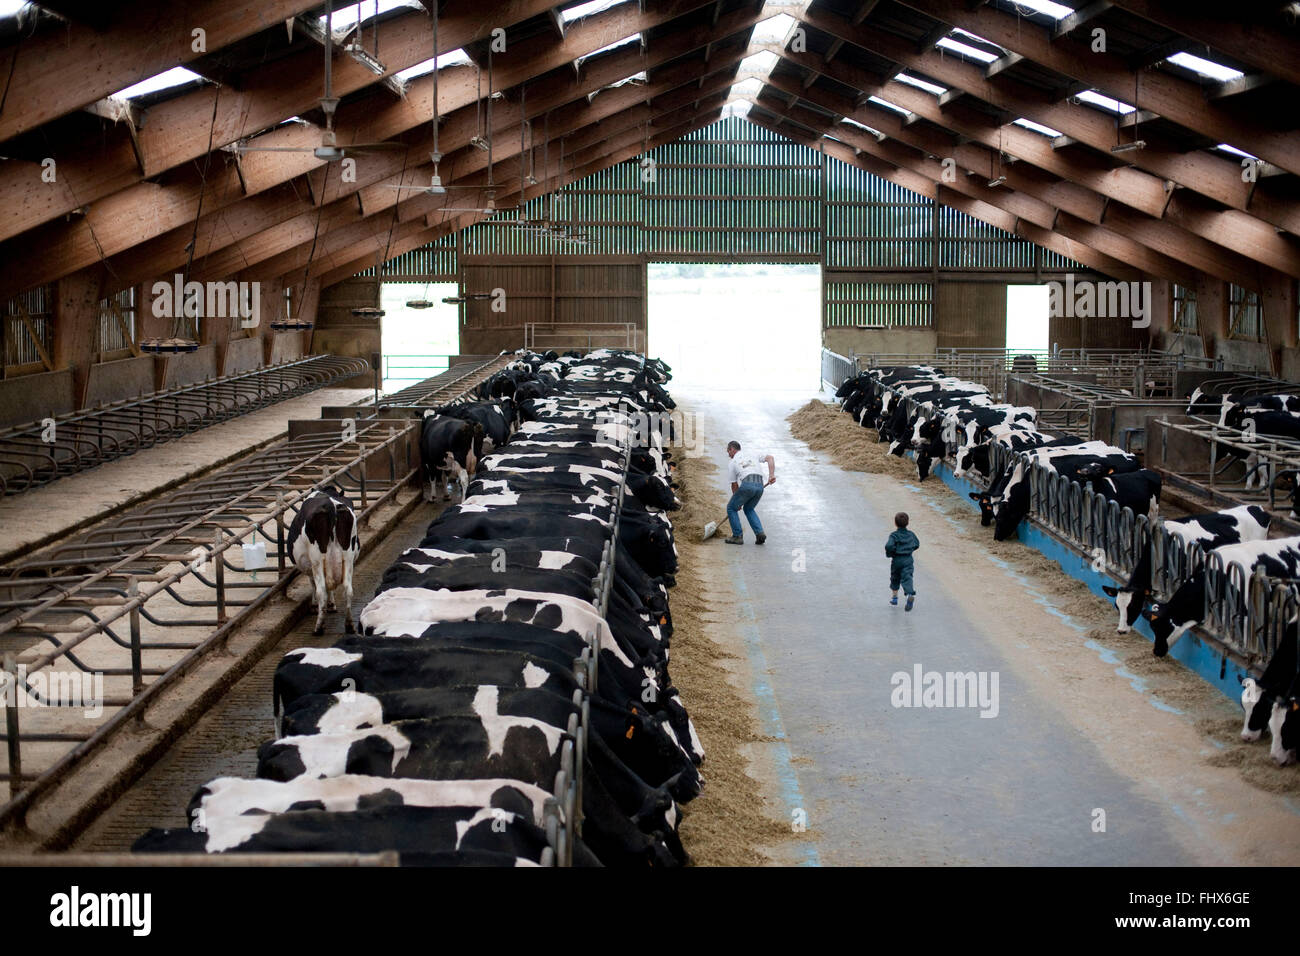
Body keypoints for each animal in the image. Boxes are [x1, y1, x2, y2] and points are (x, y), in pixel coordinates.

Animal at [288, 489, 361, 639]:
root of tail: (330, 505)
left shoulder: (310, 565)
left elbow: (314, 585)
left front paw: (315, 606)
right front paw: (332, 605)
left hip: (317, 558)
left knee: (321, 590)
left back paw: (318, 628)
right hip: (348, 557)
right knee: (348, 589)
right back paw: (349, 626)